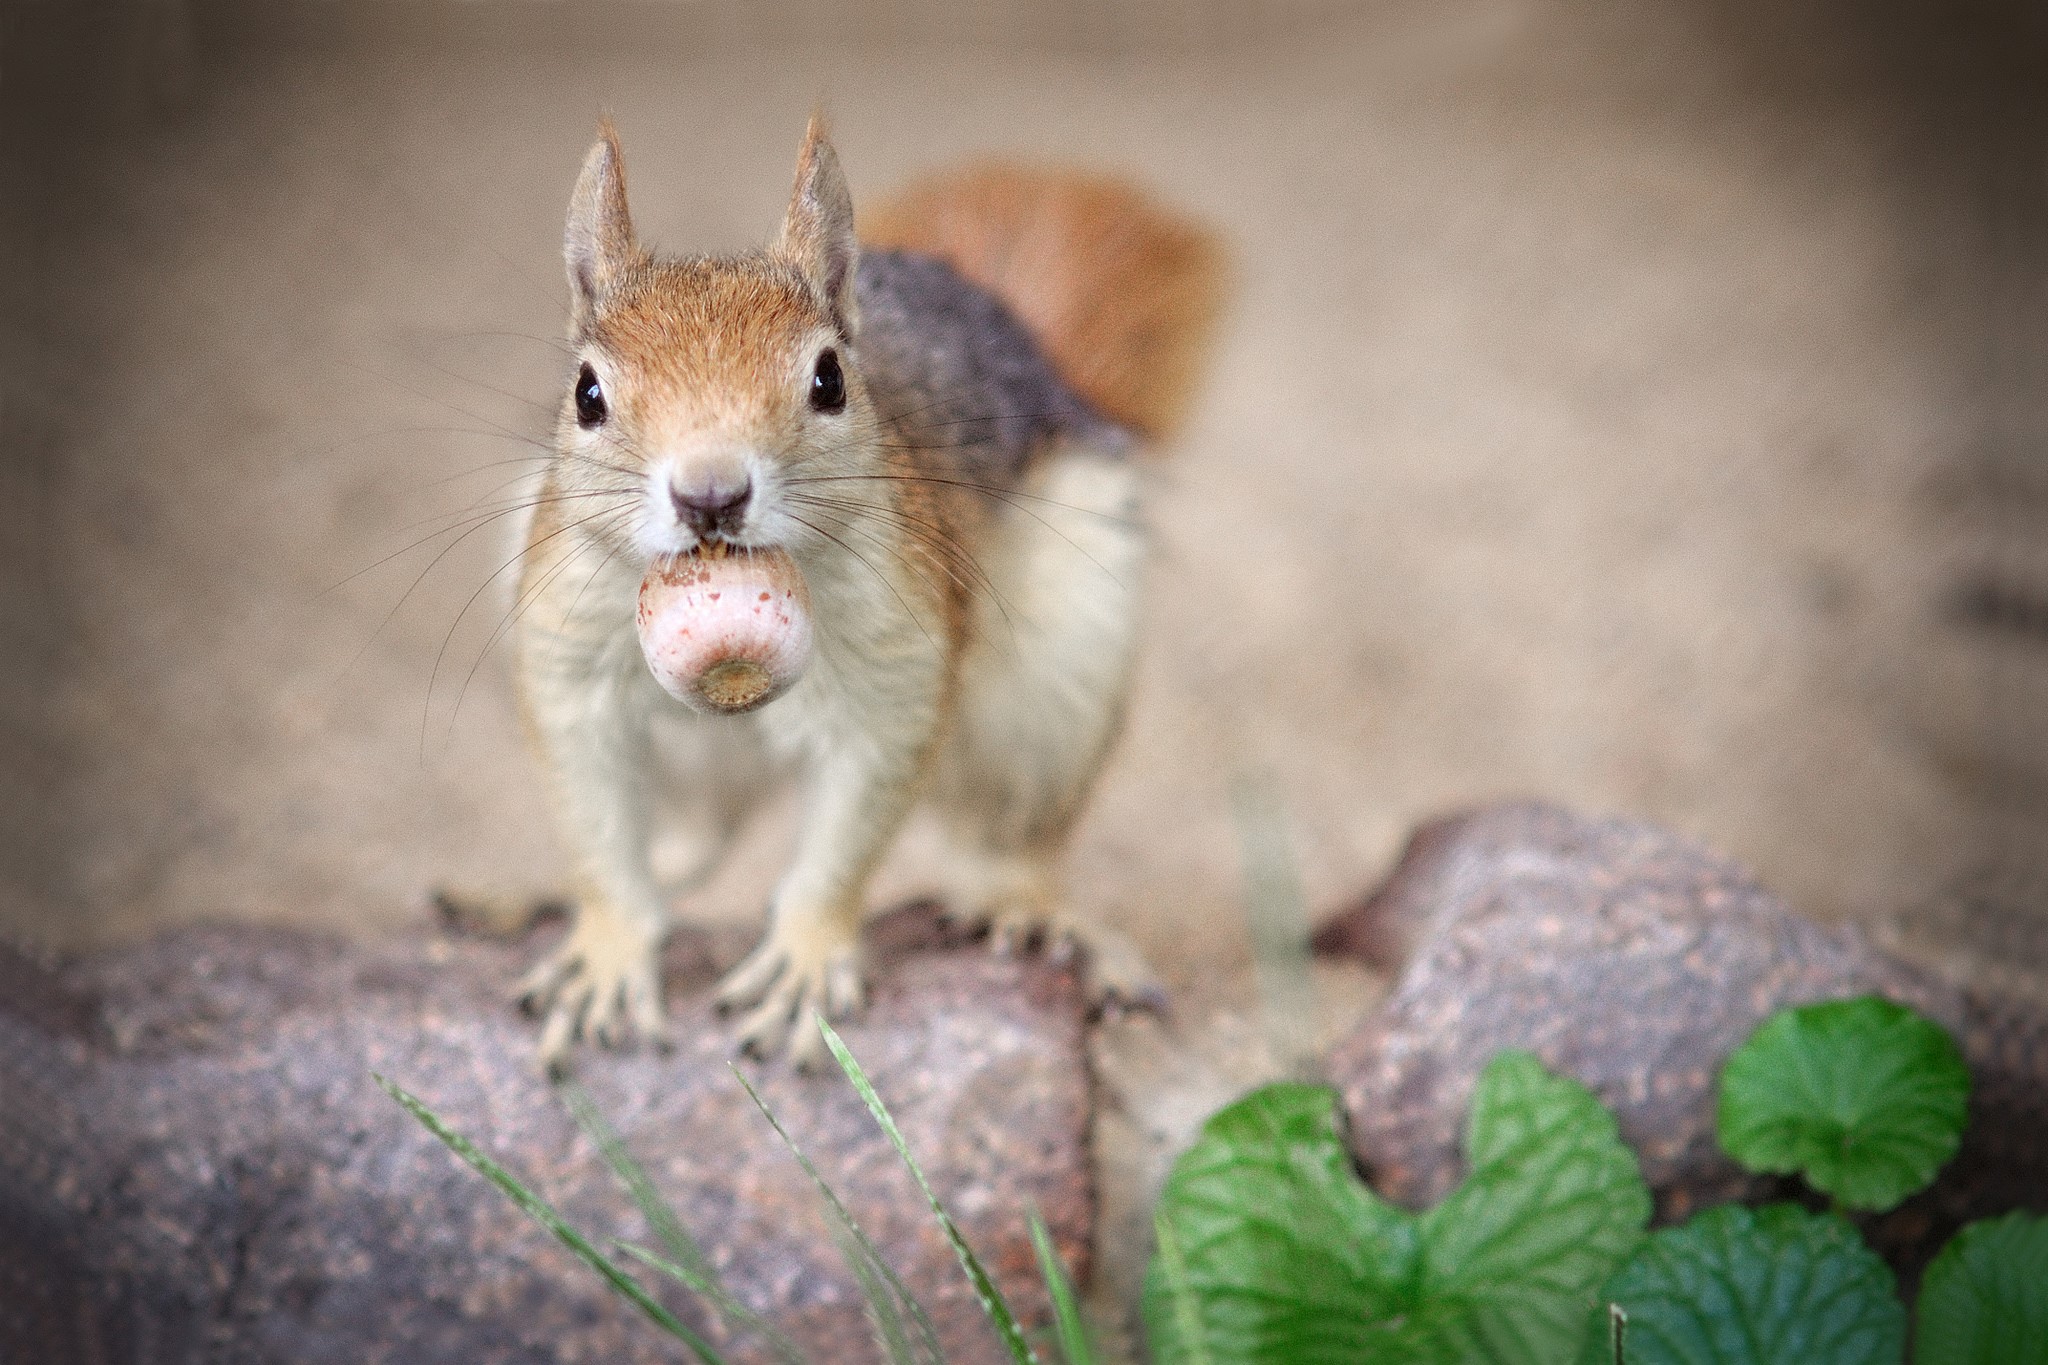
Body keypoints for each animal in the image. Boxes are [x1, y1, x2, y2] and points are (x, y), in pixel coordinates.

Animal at [506, 115, 1224, 1070]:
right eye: (587, 392)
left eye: (830, 381)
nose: (710, 495)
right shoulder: (570, 650)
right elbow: (592, 811)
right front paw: (607, 951)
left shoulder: (899, 652)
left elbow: (857, 814)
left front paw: (806, 959)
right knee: (700, 834)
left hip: (1059, 682)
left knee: (1007, 842)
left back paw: (1038, 916)